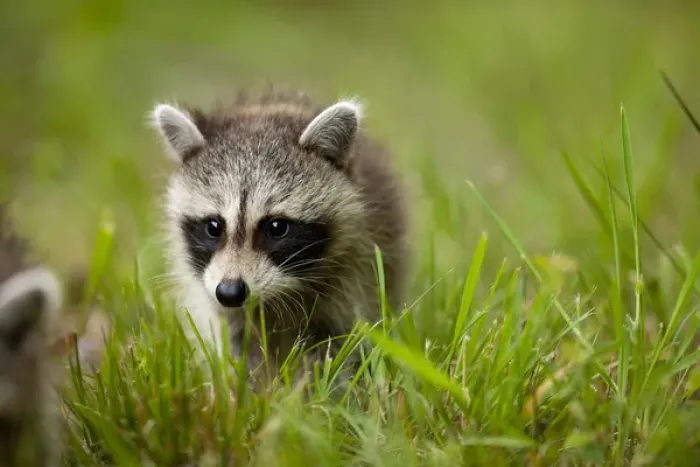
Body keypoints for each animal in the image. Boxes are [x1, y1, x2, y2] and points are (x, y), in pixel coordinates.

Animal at [151, 89, 408, 380]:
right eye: (213, 227)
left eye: (276, 228)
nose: (230, 293)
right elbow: (237, 345)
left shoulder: (355, 275)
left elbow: (337, 346)